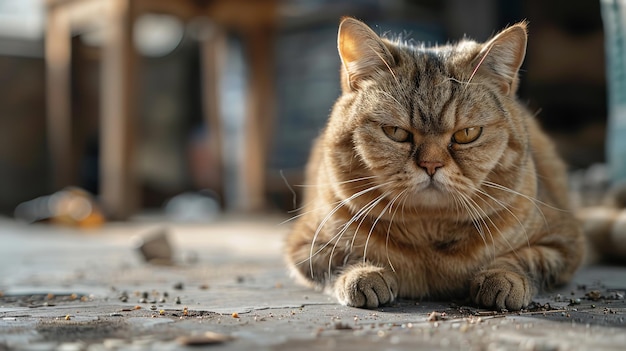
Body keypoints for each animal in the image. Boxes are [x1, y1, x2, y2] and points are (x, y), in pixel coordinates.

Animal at [284, 17, 584, 312]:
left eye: (467, 134)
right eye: (395, 132)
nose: (431, 164)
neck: (430, 230)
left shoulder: (563, 242)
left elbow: (521, 257)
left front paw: (504, 278)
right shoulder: (306, 245)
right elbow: (341, 258)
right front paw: (365, 273)